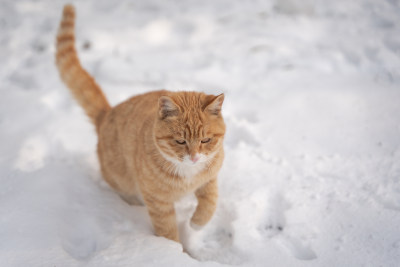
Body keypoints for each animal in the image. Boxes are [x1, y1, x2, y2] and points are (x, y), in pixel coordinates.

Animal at [55, 4, 225, 244]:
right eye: (180, 141)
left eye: (206, 140)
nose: (194, 157)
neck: (187, 174)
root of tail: (107, 113)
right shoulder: (158, 202)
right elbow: (167, 231)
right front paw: (172, 249)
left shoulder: (209, 178)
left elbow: (210, 202)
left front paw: (197, 224)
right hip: (123, 182)